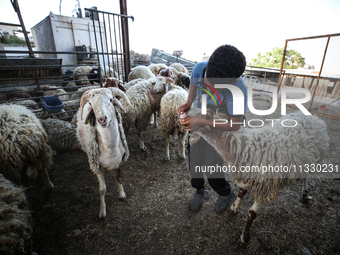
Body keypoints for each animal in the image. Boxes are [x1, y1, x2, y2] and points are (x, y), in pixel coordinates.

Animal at [76, 87, 132, 217]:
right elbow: (102, 190)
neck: (110, 147)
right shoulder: (98, 167)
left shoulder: (119, 161)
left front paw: (121, 194)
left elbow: (119, 177)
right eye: (91, 104)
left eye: (111, 100)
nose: (102, 119)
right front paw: (102, 210)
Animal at [194, 111, 330, 243]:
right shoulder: (248, 175)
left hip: (311, 161)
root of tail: (314, 118)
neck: (246, 148)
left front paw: (244, 238)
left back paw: (305, 194)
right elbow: (241, 192)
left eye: (199, 118)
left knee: (306, 178)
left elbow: (251, 214)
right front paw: (234, 207)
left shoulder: (265, 187)